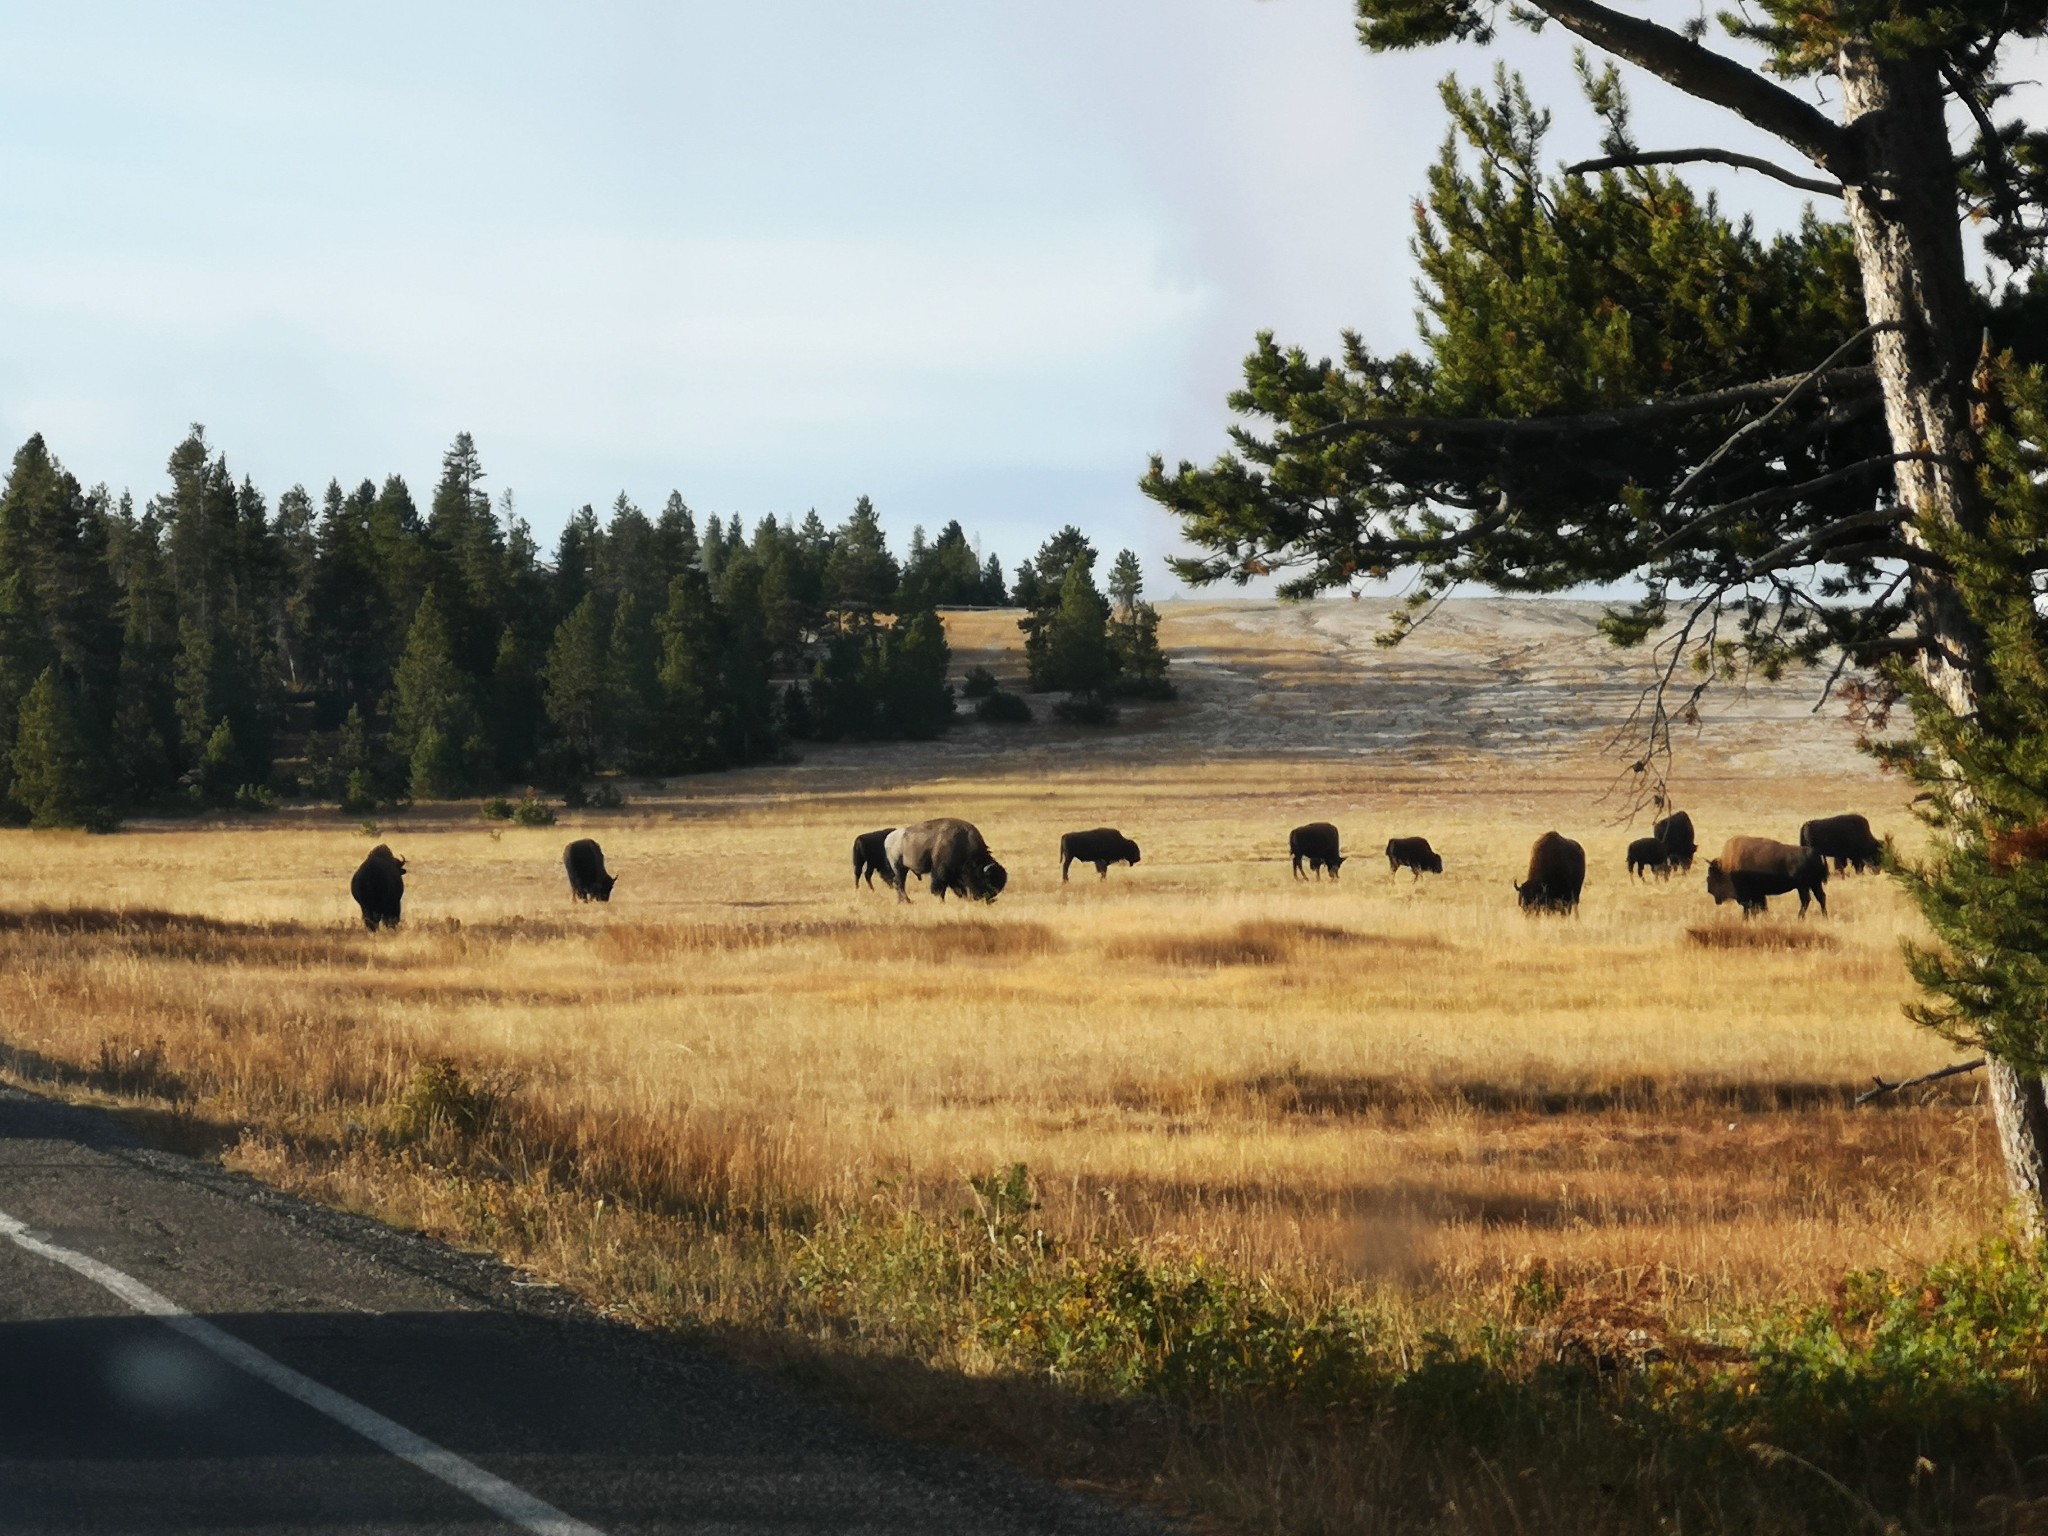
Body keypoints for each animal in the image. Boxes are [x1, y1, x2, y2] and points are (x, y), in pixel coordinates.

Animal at [1703, 835, 1835, 921]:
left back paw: (1800, 918)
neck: (1727, 867)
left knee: (1807, 900)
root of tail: (1816, 853)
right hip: (1813, 884)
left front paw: (1747, 919)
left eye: (1712, 878)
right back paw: (1824, 917)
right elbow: (1759, 907)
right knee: (1820, 897)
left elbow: (1752, 907)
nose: (1709, 890)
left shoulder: (1750, 894)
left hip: (1804, 886)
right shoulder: (1758, 894)